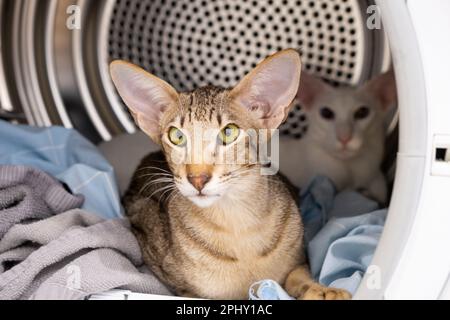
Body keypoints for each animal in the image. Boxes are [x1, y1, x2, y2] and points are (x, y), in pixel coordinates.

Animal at [110, 50, 350, 300]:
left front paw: (322, 289)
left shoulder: (299, 258)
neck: (237, 223)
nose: (197, 179)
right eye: (176, 136)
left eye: (229, 133)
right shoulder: (183, 288)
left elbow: (297, 275)